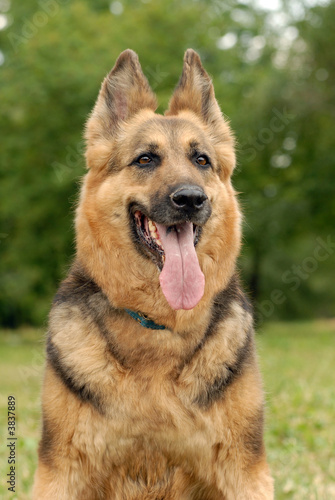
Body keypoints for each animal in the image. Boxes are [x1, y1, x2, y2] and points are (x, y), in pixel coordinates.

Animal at [34, 48, 274, 498]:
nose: (191, 199)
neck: (157, 324)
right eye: (146, 159)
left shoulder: (244, 470)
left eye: (202, 160)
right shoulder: (61, 472)